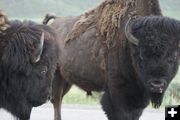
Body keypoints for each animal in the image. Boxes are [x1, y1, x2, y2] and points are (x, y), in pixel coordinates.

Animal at [43, 0, 180, 120]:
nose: (157, 84)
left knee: (59, 99)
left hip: (66, 80)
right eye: (141, 55)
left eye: (173, 57)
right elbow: (121, 114)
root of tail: (53, 24)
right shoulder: (116, 91)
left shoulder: (139, 96)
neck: (128, 45)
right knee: (56, 100)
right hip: (55, 76)